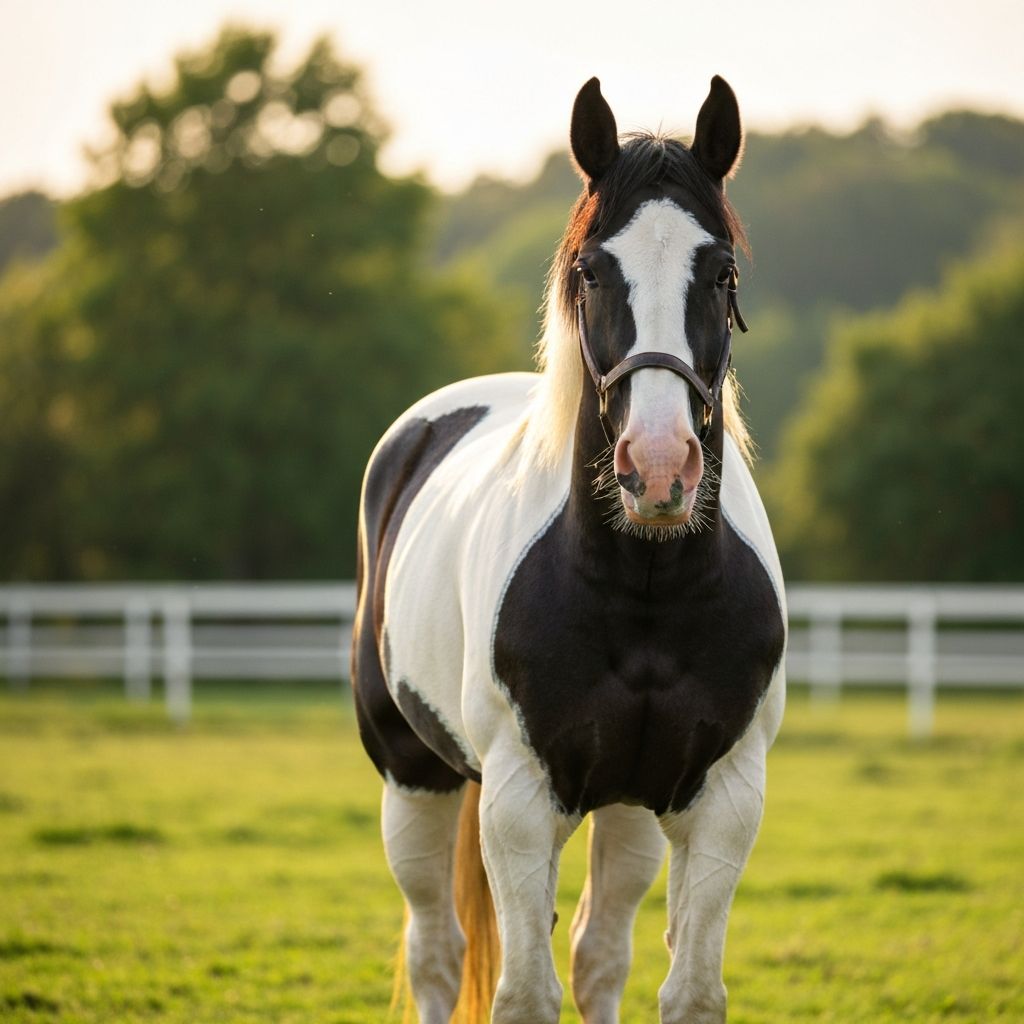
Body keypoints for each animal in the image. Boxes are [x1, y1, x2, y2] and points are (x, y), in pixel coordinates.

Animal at [351, 75, 787, 1024]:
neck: (645, 592)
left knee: (599, 955)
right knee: (438, 955)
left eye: (723, 273)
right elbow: (521, 994)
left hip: (625, 807)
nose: (657, 468)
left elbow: (686, 991)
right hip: (413, 776)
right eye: (591, 270)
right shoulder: (519, 802)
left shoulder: (724, 799)